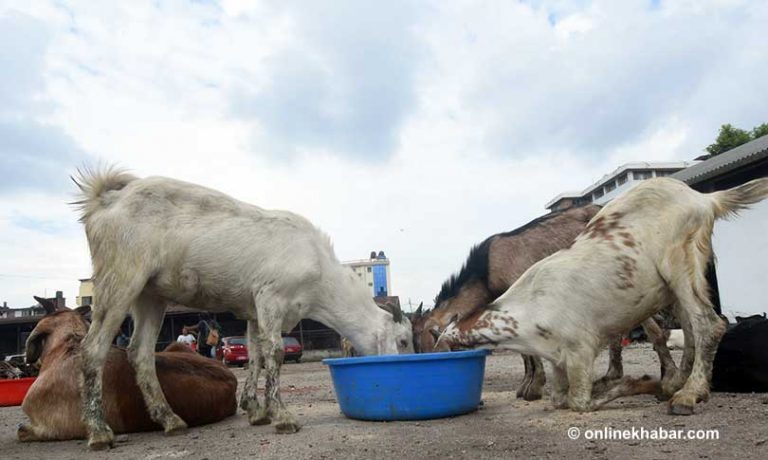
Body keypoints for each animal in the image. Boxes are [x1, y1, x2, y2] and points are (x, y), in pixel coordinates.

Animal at [75, 166, 404, 450]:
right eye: (402, 339)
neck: (320, 271)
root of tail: (107, 199)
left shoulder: (255, 309)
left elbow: (255, 354)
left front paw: (256, 410)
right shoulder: (271, 296)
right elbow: (275, 352)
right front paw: (282, 416)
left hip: (150, 294)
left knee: (140, 352)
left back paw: (170, 420)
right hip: (120, 276)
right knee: (93, 347)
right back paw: (99, 432)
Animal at [438, 178, 768, 416]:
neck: (526, 312)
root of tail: (705, 199)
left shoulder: (580, 352)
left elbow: (578, 402)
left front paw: (640, 383)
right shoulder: (558, 362)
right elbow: (559, 398)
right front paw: (650, 384)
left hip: (680, 263)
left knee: (708, 324)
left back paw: (687, 394)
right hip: (677, 281)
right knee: (688, 327)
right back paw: (677, 383)